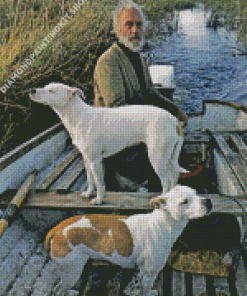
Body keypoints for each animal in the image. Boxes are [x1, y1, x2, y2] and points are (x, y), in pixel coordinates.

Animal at [44, 185, 212, 296]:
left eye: (196, 192)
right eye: (184, 201)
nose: (208, 201)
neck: (162, 224)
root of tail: (55, 230)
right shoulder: (149, 273)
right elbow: (144, 291)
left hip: (69, 271)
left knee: (59, 288)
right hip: (72, 270)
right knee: (58, 290)